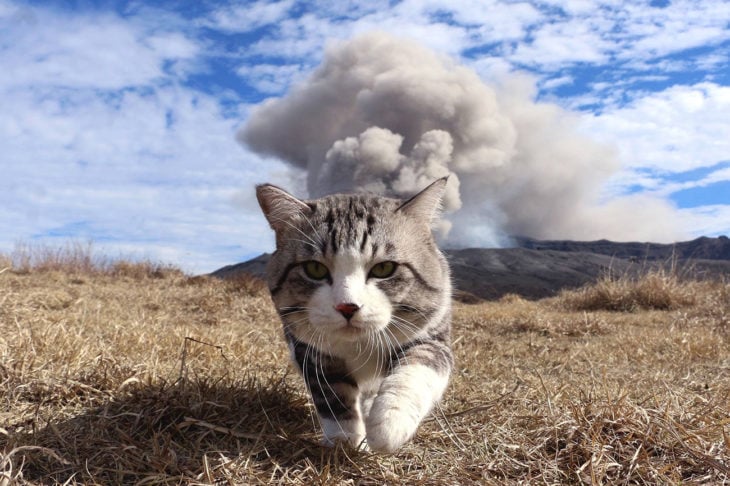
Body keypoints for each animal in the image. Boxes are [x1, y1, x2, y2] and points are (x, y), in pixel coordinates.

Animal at [255, 176, 450, 452]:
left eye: (384, 268)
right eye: (314, 269)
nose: (347, 306)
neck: (359, 344)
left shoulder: (432, 335)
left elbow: (416, 369)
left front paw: (387, 425)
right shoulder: (310, 351)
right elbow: (333, 394)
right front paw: (345, 439)